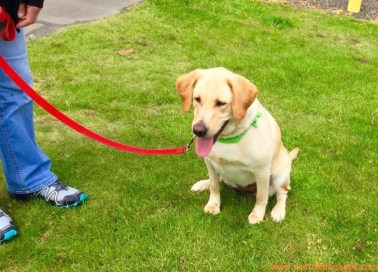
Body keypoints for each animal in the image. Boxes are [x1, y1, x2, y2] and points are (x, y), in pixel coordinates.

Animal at [176, 67, 300, 223]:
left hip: (280, 176)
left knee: (282, 193)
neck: (228, 138)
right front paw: (213, 205)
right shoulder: (209, 163)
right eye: (197, 99)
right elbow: (214, 186)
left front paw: (257, 214)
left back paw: (278, 211)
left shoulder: (262, 170)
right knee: (219, 180)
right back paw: (202, 184)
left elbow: (261, 197)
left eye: (221, 103)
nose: (198, 130)